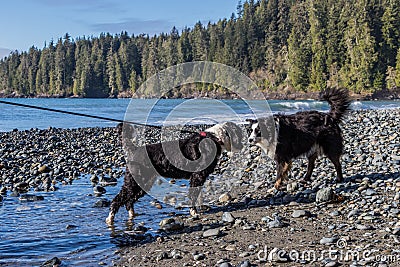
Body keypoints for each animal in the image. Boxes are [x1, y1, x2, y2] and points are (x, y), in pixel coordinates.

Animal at [106, 122, 242, 225]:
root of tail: (134, 150)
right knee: (119, 199)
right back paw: (110, 218)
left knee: (129, 200)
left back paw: (132, 214)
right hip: (134, 181)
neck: (215, 138)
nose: (242, 145)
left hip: (143, 183)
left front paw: (201, 207)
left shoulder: (201, 178)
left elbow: (199, 194)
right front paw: (194, 212)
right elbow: (193, 195)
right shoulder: (197, 176)